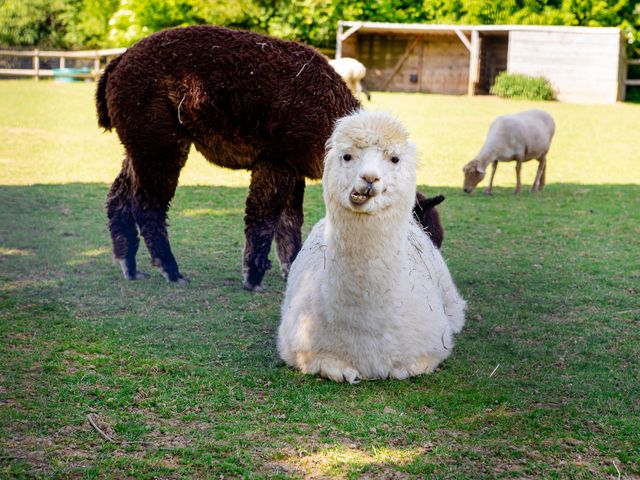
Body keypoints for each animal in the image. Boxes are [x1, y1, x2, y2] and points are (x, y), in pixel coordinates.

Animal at [99, 26, 360, 288]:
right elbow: (263, 217)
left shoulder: (294, 165)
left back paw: (130, 267)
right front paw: (253, 278)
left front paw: (292, 271)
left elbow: (290, 222)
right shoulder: (277, 159)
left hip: (137, 143)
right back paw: (171, 271)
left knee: (118, 196)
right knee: (148, 205)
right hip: (158, 138)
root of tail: (118, 61)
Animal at [276, 109, 464, 382]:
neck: (367, 329)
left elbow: (406, 369)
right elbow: (332, 368)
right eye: (347, 156)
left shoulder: (431, 348)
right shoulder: (300, 348)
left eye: (394, 158)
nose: (369, 178)